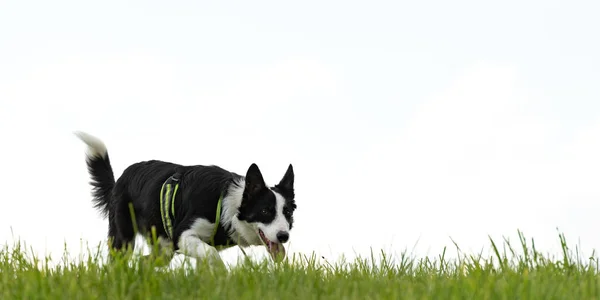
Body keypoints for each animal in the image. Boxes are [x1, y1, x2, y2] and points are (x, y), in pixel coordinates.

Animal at [76, 132, 296, 266]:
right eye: (265, 211)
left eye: (287, 213)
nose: (284, 237)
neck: (226, 204)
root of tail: (118, 181)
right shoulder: (183, 236)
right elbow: (212, 256)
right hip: (123, 238)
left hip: (162, 248)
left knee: (145, 261)